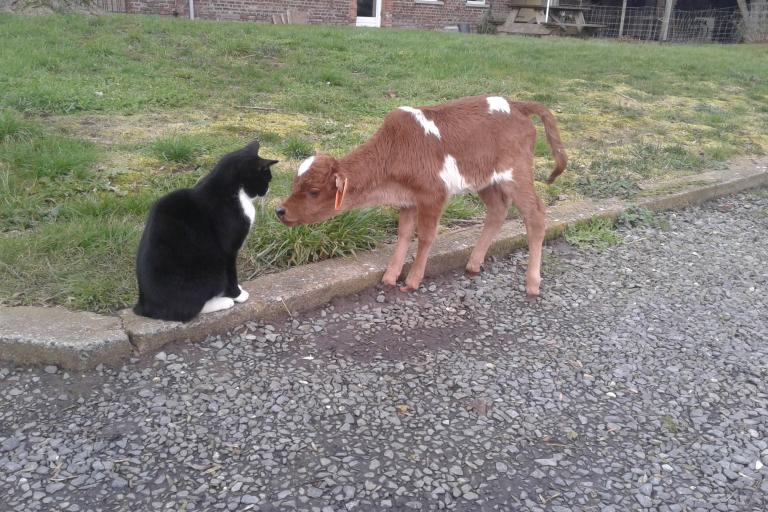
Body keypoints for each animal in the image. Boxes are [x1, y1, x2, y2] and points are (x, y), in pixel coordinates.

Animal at [134, 142, 278, 322]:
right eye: (267, 178)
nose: (267, 190)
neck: (232, 192)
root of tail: (145, 306)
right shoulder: (228, 251)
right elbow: (231, 275)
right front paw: (237, 295)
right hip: (212, 271)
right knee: (188, 310)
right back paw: (223, 302)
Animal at [276, 96, 564, 296]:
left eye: (314, 192)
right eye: (294, 184)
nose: (280, 211)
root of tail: (515, 104)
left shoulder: (433, 194)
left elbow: (425, 236)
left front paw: (413, 280)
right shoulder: (407, 199)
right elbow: (404, 234)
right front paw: (391, 276)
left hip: (517, 173)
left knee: (535, 214)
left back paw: (532, 283)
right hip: (485, 180)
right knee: (498, 210)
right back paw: (473, 263)